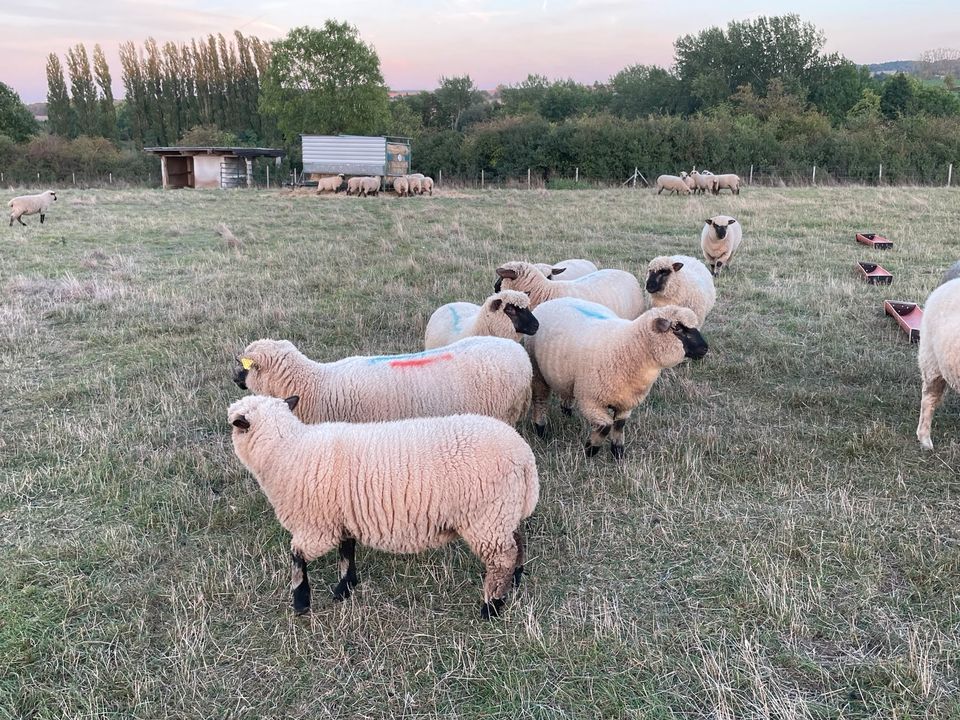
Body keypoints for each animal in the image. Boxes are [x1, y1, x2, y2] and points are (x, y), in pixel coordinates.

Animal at [228, 394, 536, 620]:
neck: (286, 449)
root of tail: (523, 456)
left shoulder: (317, 525)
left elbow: (297, 557)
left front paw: (301, 601)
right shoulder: (342, 515)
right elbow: (347, 550)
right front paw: (345, 587)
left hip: (487, 516)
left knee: (502, 557)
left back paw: (491, 606)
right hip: (502, 511)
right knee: (518, 541)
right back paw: (514, 581)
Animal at [520, 296, 708, 456]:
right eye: (677, 328)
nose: (705, 348)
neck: (628, 347)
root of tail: (554, 300)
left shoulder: (626, 403)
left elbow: (618, 426)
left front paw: (617, 452)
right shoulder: (590, 401)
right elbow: (605, 426)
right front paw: (591, 449)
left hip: (566, 376)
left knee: (566, 393)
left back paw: (567, 413)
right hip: (538, 374)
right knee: (540, 400)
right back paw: (541, 429)